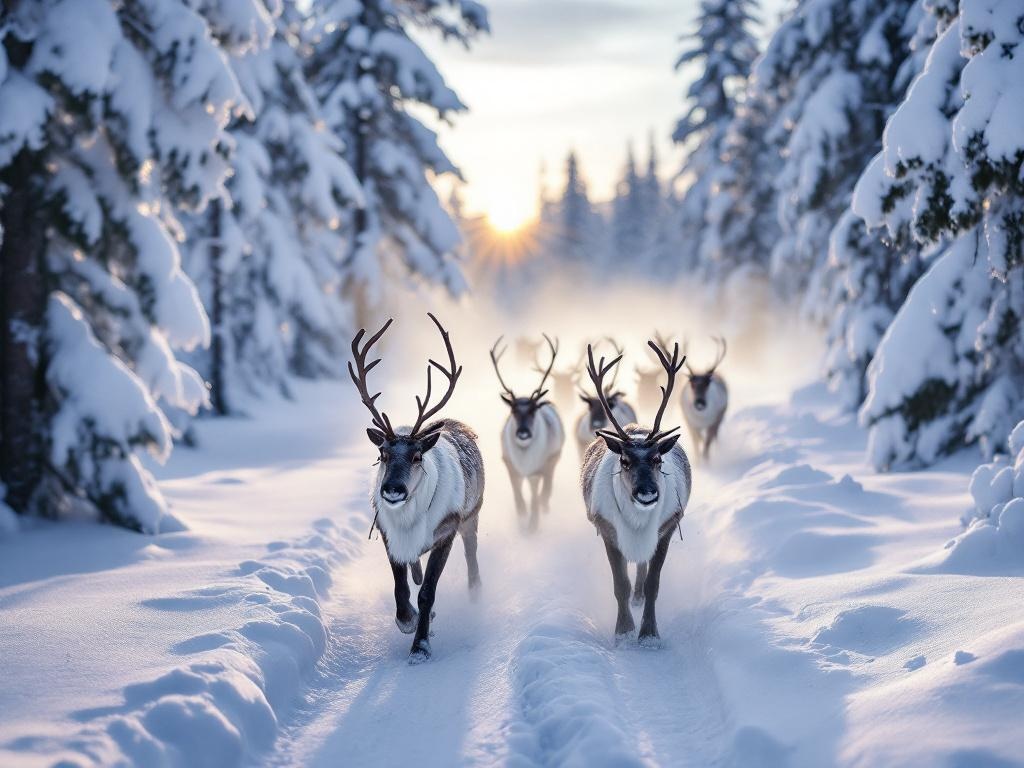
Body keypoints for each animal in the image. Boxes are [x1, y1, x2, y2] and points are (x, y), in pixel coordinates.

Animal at [349, 314, 484, 663]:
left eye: (417, 455)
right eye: (382, 453)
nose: (393, 490)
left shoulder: (447, 532)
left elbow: (427, 593)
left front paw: (420, 646)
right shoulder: (388, 533)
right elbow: (402, 587)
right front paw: (408, 621)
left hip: (472, 517)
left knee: (471, 556)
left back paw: (475, 595)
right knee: (414, 569)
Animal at [491, 334, 566, 533]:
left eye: (533, 410)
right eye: (513, 411)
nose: (523, 432)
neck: (524, 459)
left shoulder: (537, 470)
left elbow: (535, 496)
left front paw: (533, 525)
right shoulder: (509, 463)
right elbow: (517, 494)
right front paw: (522, 515)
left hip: (554, 458)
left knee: (547, 486)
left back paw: (544, 506)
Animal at [580, 340, 691, 646]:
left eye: (657, 459)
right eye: (625, 461)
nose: (647, 492)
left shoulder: (666, 529)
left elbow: (654, 584)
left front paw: (649, 634)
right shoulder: (608, 530)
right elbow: (620, 584)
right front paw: (624, 631)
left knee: (642, 568)